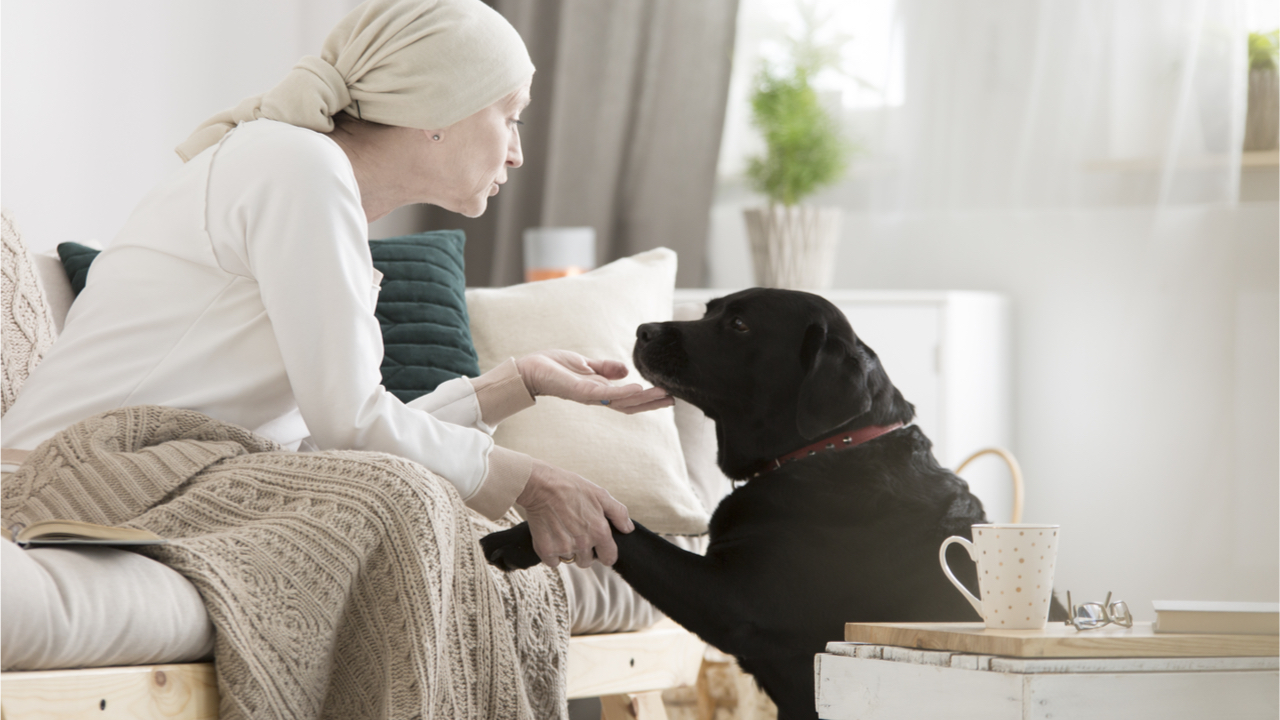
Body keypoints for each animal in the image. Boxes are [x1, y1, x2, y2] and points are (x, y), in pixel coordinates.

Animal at [483, 286, 1044, 717]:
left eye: (739, 325)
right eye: (709, 310)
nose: (643, 329)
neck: (825, 448)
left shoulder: (732, 603)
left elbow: (626, 527)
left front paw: (520, 535)